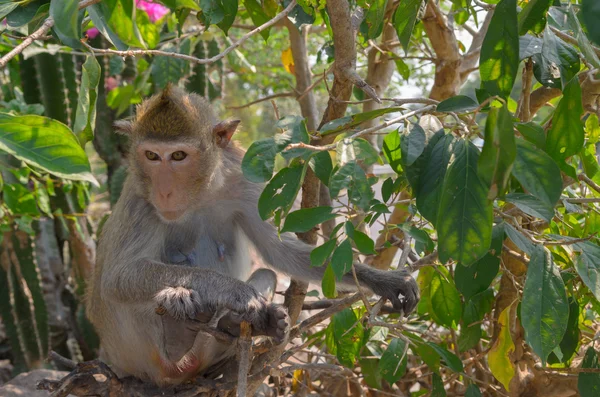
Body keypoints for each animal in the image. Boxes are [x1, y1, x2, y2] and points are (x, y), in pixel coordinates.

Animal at [86, 85, 420, 386]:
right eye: (152, 156)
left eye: (178, 155)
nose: (164, 191)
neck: (200, 194)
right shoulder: (140, 200)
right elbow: (117, 277)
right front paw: (232, 290)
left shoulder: (244, 181)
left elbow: (277, 251)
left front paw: (382, 279)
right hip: (134, 356)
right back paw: (177, 327)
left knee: (265, 275)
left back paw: (242, 325)